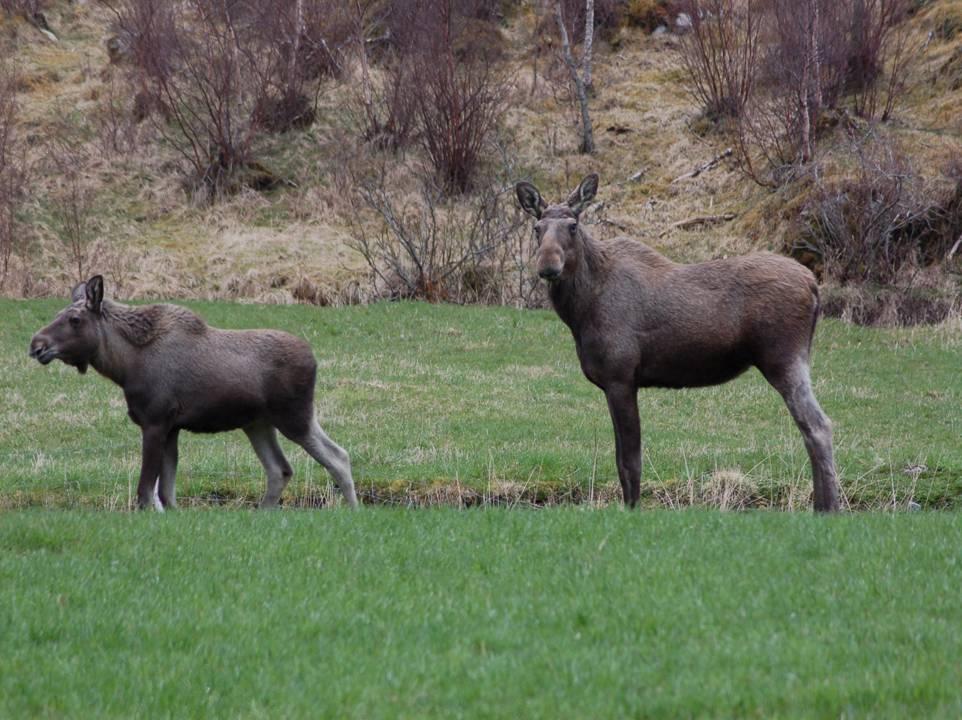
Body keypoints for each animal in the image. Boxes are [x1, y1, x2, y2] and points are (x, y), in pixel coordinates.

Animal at [32, 272, 360, 510]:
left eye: (75, 319)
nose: (36, 345)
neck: (124, 367)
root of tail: (314, 359)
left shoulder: (155, 421)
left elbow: (145, 492)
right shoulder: (172, 428)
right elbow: (166, 494)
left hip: (293, 416)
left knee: (338, 457)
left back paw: (353, 511)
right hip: (259, 423)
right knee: (282, 470)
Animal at [512, 174, 836, 512]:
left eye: (573, 225)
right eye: (537, 228)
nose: (548, 266)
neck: (580, 311)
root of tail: (813, 285)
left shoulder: (620, 378)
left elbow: (630, 462)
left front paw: (633, 511)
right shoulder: (613, 383)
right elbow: (620, 460)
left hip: (783, 359)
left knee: (818, 426)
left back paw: (829, 509)